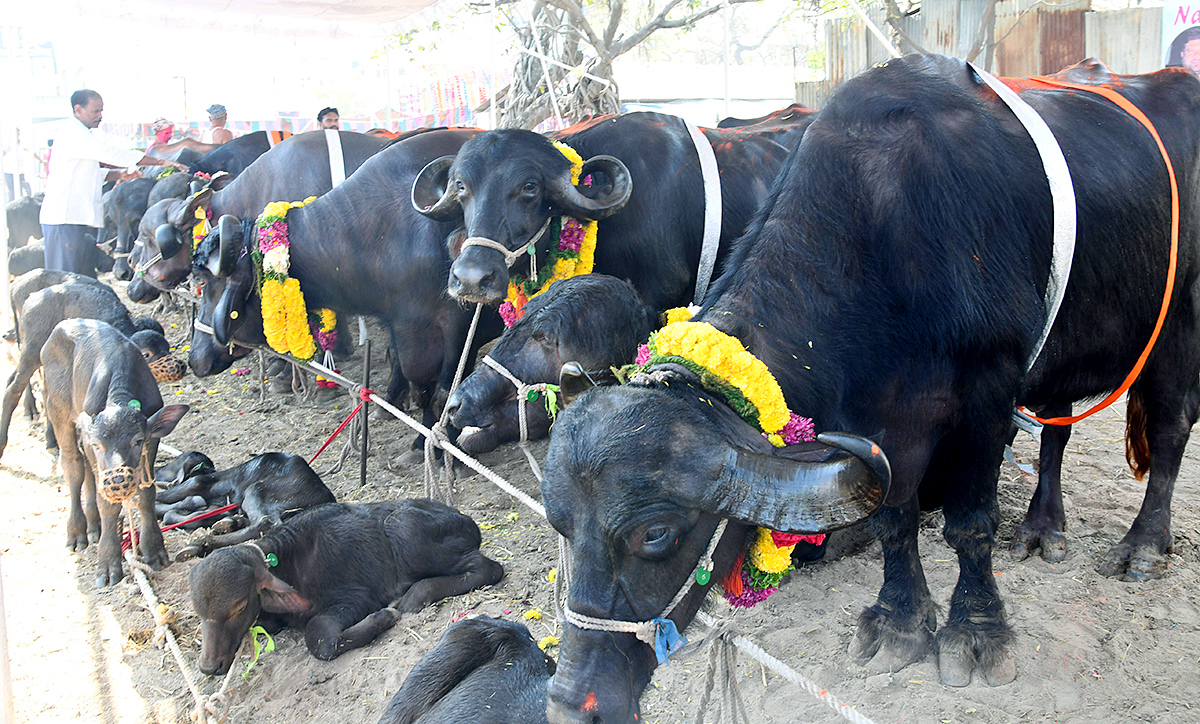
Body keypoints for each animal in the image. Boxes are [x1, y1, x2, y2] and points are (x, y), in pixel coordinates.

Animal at [39, 319, 188, 585]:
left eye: (137, 441)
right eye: (99, 444)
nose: (117, 480)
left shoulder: (152, 442)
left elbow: (147, 493)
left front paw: (154, 551)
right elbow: (107, 503)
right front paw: (108, 564)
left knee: (88, 472)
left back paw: (93, 525)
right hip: (57, 411)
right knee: (73, 465)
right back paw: (77, 532)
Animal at [158, 453, 338, 554]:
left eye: (173, 464)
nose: (157, 470)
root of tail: (325, 495)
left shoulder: (199, 484)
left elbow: (163, 500)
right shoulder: (219, 505)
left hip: (256, 489)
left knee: (267, 523)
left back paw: (202, 543)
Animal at [188, 501, 506, 677]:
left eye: (239, 606)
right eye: (199, 613)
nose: (208, 667)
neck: (290, 562)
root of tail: (468, 521)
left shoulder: (354, 599)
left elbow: (319, 638)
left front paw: (384, 617)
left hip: (405, 529)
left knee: (488, 568)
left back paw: (414, 596)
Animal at [540, 55, 1200, 720]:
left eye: (656, 534)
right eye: (561, 524)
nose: (573, 702)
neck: (888, 232)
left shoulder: (986, 396)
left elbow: (969, 522)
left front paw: (977, 634)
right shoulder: (877, 415)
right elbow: (893, 517)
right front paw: (898, 623)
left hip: (1177, 328)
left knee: (1170, 431)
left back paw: (1143, 547)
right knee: (1057, 434)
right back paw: (1043, 529)